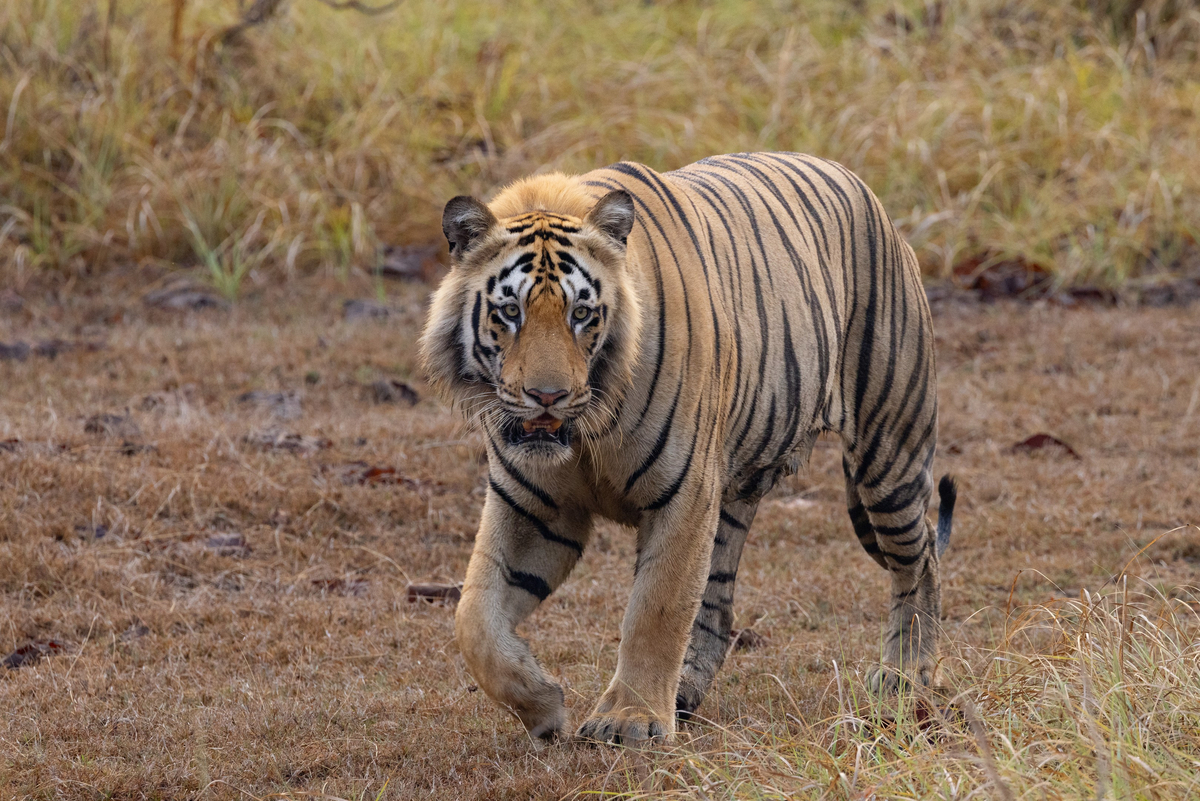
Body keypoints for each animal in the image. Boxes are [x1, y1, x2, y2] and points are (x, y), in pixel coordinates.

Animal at [419, 152, 957, 745]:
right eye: (509, 312)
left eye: (581, 314)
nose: (548, 397)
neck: (586, 435)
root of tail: (864, 191)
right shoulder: (533, 509)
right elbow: (474, 618)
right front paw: (543, 705)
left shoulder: (683, 496)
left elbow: (656, 608)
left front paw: (629, 721)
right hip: (736, 494)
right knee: (718, 610)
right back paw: (684, 695)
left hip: (889, 452)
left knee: (921, 561)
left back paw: (906, 674)